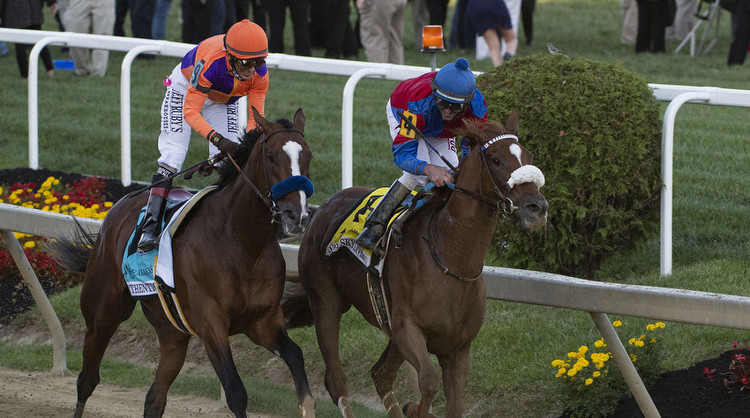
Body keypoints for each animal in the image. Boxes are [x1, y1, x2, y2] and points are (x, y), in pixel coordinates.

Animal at [53, 108, 318, 418]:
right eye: (272, 156)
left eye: (308, 156)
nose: (297, 216)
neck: (240, 241)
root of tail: (116, 209)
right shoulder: (211, 324)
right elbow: (236, 393)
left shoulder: (262, 321)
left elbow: (296, 359)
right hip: (102, 313)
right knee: (87, 379)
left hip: (172, 334)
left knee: (154, 398)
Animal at [284, 112, 548, 418]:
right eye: (495, 160)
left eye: (528, 156)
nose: (536, 208)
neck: (450, 261)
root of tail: (321, 209)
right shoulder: (407, 330)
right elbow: (429, 382)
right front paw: (416, 408)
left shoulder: (458, 349)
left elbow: (453, 403)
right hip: (326, 303)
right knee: (336, 379)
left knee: (380, 374)